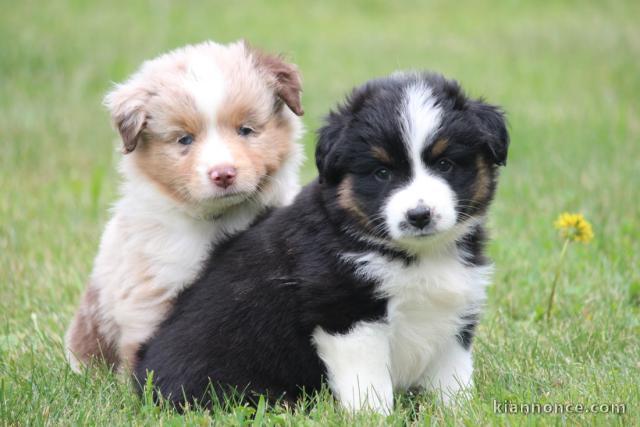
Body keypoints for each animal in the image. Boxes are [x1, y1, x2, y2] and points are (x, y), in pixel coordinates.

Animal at [136, 71, 510, 414]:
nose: (419, 215)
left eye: (445, 164)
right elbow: (369, 384)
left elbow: (453, 377)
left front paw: (461, 411)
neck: (414, 255)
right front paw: (372, 418)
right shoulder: (346, 313)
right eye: (382, 173)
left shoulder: (454, 311)